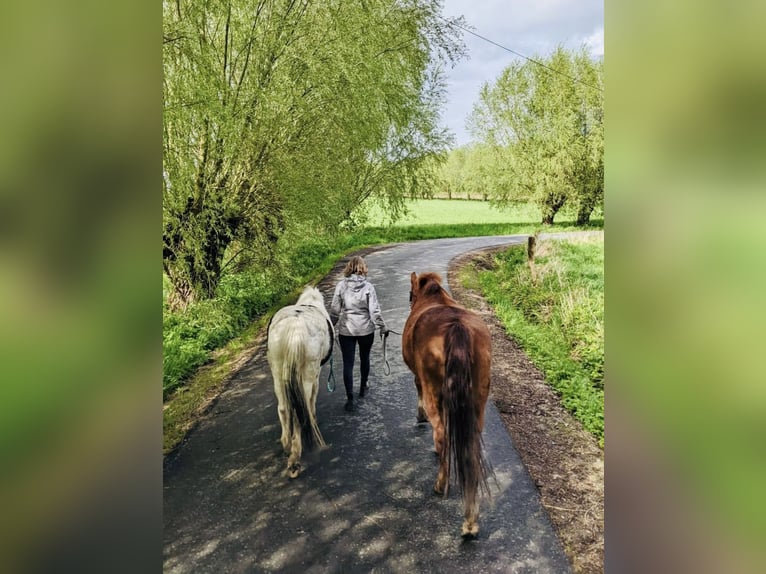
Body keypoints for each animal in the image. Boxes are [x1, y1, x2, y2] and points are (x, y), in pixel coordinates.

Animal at [268, 286, 332, 480]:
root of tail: (295, 328)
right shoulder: (316, 375)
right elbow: (312, 399)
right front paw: (314, 417)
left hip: (277, 370)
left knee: (283, 408)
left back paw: (287, 444)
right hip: (308, 372)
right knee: (299, 411)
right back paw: (295, 458)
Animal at [402, 274, 492, 540]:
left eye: (410, 294)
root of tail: (456, 327)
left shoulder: (421, 380)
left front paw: (419, 416)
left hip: (434, 392)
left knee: (441, 432)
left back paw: (440, 484)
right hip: (477, 403)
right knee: (471, 447)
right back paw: (470, 520)